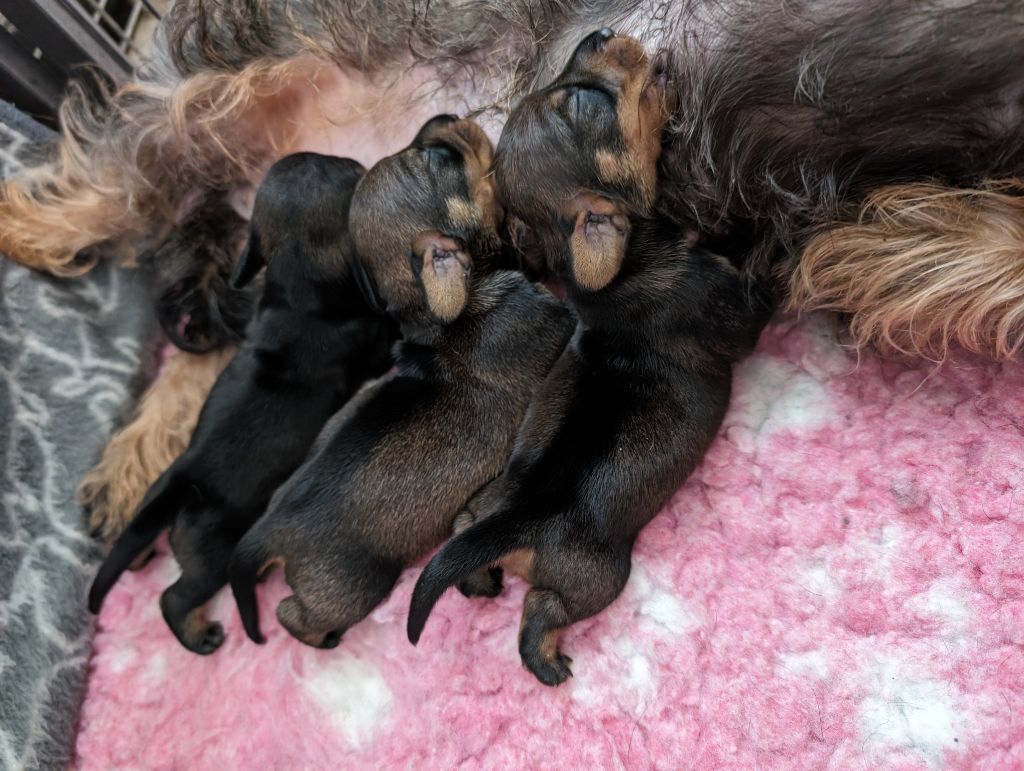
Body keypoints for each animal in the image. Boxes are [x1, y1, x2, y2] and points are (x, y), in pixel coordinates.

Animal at [88, 153, 393, 651]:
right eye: (349, 168)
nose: (359, 159)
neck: (296, 288)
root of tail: (184, 482)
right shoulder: (370, 339)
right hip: (212, 555)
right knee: (175, 597)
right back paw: (200, 635)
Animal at [227, 112, 573, 643]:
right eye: (440, 158)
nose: (443, 116)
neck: (434, 309)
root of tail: (267, 529)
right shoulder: (548, 318)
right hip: (347, 591)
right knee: (295, 618)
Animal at [403, 30, 770, 683]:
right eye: (582, 101)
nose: (596, 35)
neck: (616, 260)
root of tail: (516, 521)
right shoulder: (731, 308)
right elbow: (754, 292)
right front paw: (757, 230)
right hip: (597, 578)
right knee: (543, 613)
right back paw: (547, 660)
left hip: (482, 508)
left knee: (464, 532)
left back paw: (478, 581)